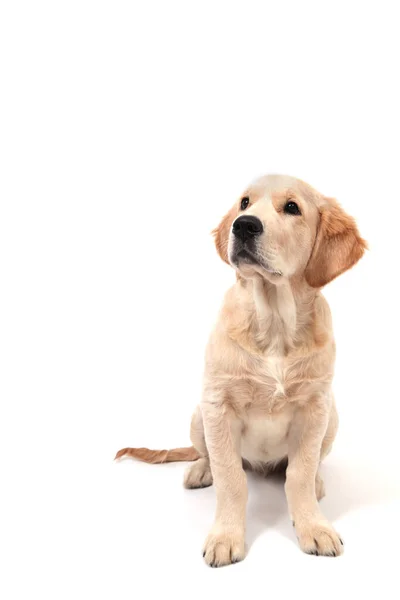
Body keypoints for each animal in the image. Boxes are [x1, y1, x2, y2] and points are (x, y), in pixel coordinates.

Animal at [115, 173, 366, 568]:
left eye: (292, 207)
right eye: (244, 203)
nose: (243, 225)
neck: (274, 323)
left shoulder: (315, 405)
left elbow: (299, 473)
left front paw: (313, 525)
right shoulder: (219, 403)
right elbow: (231, 477)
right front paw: (225, 537)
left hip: (333, 417)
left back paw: (317, 482)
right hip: (199, 413)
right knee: (208, 455)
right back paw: (201, 470)